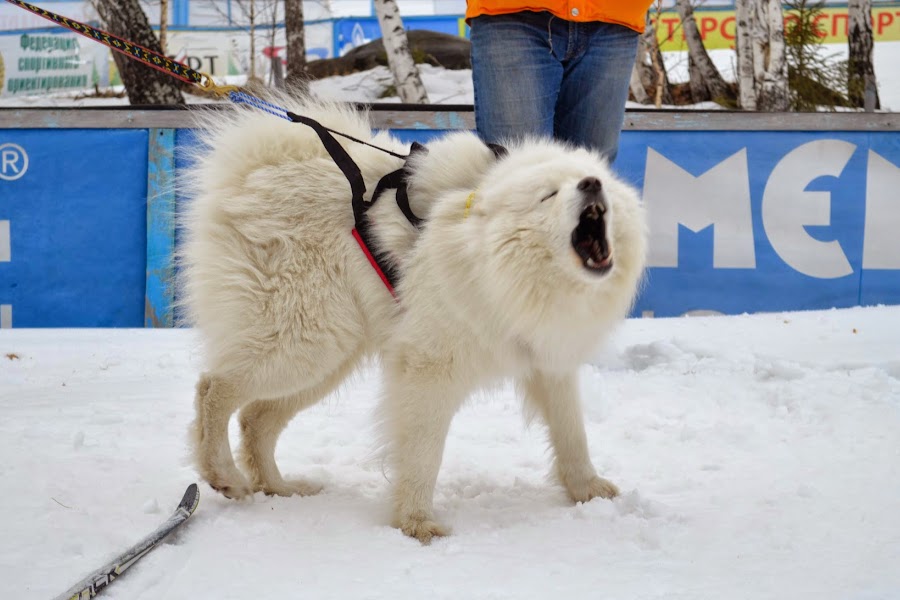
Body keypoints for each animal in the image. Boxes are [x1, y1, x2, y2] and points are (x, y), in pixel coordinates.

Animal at [181, 95, 648, 544]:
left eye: (594, 179)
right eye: (549, 195)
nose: (592, 184)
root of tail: (256, 168)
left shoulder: (550, 363)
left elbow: (572, 433)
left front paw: (588, 490)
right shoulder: (430, 367)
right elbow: (423, 453)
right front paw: (416, 524)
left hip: (329, 355)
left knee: (254, 418)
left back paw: (279, 488)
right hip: (306, 341)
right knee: (212, 388)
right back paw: (224, 475)